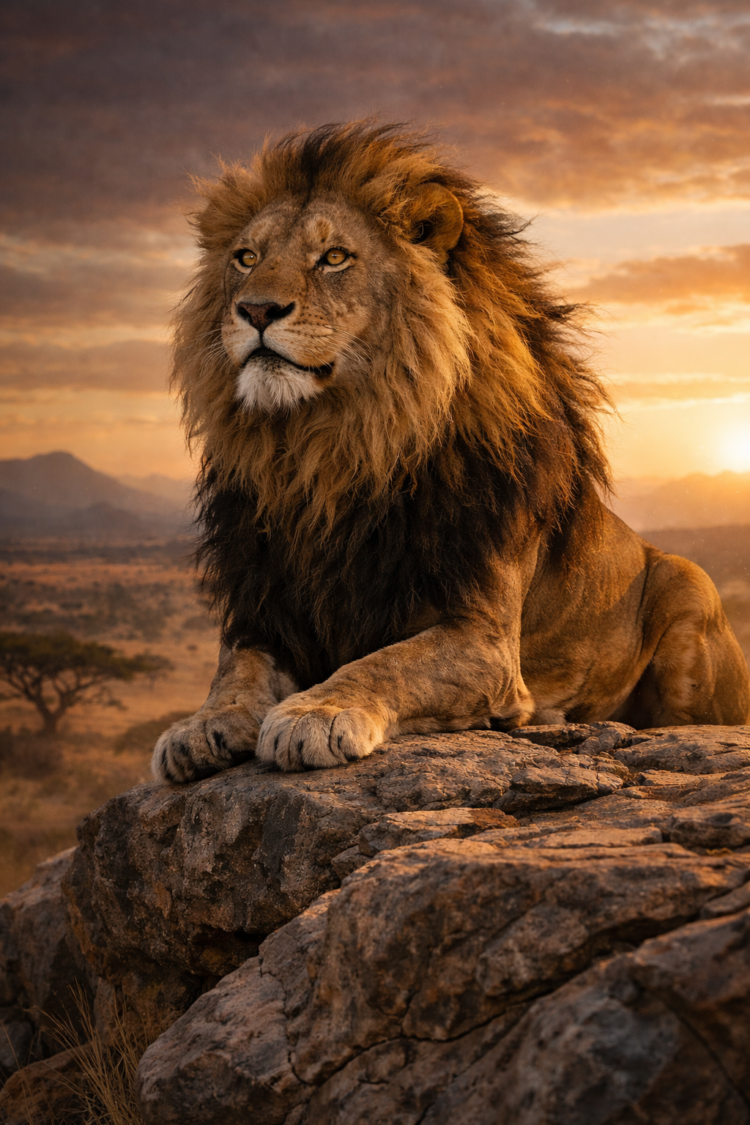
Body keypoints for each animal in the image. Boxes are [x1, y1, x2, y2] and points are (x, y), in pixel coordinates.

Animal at [153, 122, 750, 783]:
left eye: (334, 258)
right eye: (247, 258)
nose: (255, 309)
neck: (329, 451)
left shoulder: (484, 641)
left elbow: (384, 663)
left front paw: (316, 712)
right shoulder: (266, 607)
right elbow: (236, 670)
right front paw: (201, 725)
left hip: (690, 587)